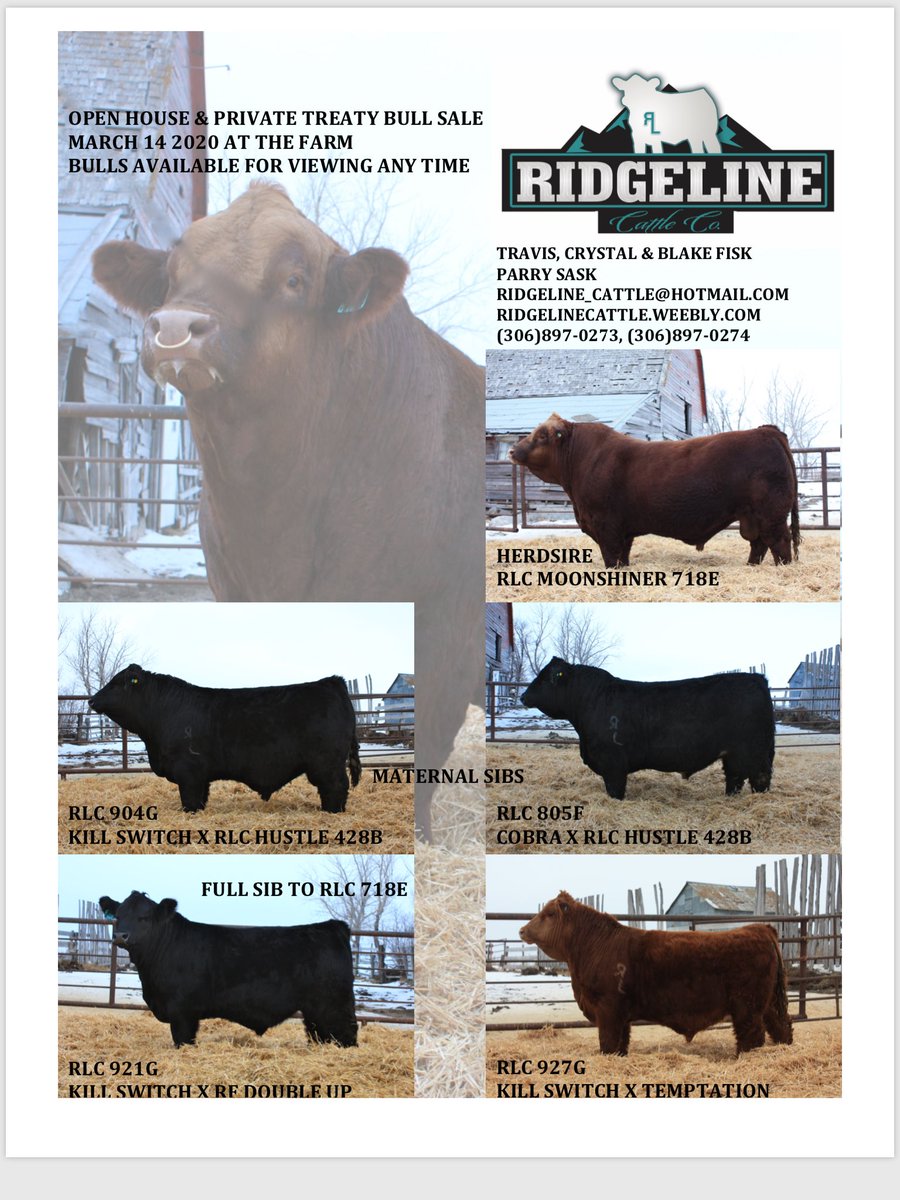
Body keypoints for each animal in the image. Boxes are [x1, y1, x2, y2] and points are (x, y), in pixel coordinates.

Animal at [89, 664, 361, 814]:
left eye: (116, 683)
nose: (91, 700)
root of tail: (332, 682)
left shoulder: (188, 770)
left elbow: (189, 798)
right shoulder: (200, 775)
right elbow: (200, 797)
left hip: (326, 762)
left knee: (337, 786)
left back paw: (332, 812)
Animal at [99, 891, 358, 1048]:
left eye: (144, 917)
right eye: (117, 916)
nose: (121, 935)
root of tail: (332, 927)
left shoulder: (182, 1012)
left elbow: (182, 1040)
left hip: (335, 1005)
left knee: (347, 1032)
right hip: (315, 1010)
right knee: (319, 1035)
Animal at [509, 414, 800, 567]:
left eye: (542, 436)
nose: (511, 450)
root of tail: (767, 432)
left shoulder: (606, 525)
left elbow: (611, 555)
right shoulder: (623, 529)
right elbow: (623, 555)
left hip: (771, 514)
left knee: (780, 542)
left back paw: (782, 568)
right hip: (753, 516)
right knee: (759, 543)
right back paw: (751, 566)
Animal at [520, 657, 775, 797]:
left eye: (546, 677)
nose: (523, 696)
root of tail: (757, 679)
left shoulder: (612, 762)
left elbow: (615, 790)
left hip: (754, 752)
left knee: (757, 780)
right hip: (733, 755)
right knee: (735, 779)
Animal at [520, 892, 793, 1056]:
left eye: (549, 914)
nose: (522, 930)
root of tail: (760, 928)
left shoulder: (608, 1009)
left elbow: (608, 1041)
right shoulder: (621, 1015)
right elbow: (621, 1041)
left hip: (748, 1006)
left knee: (752, 1035)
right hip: (768, 1004)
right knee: (782, 1027)